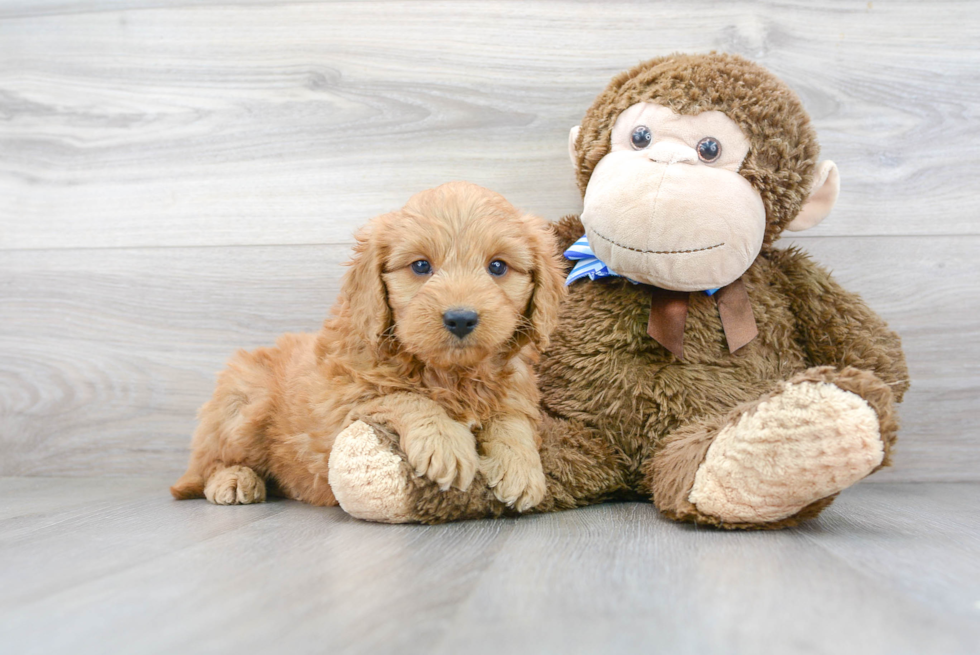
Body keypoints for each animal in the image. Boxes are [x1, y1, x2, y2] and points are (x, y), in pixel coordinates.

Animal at [172, 183, 564, 512]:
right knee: (209, 463)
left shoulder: (513, 388)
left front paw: (520, 467)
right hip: (244, 404)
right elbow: (403, 396)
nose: (461, 319)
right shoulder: (341, 400)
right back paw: (233, 479)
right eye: (420, 266)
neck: (450, 373)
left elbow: (511, 418)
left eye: (497, 266)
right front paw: (444, 441)